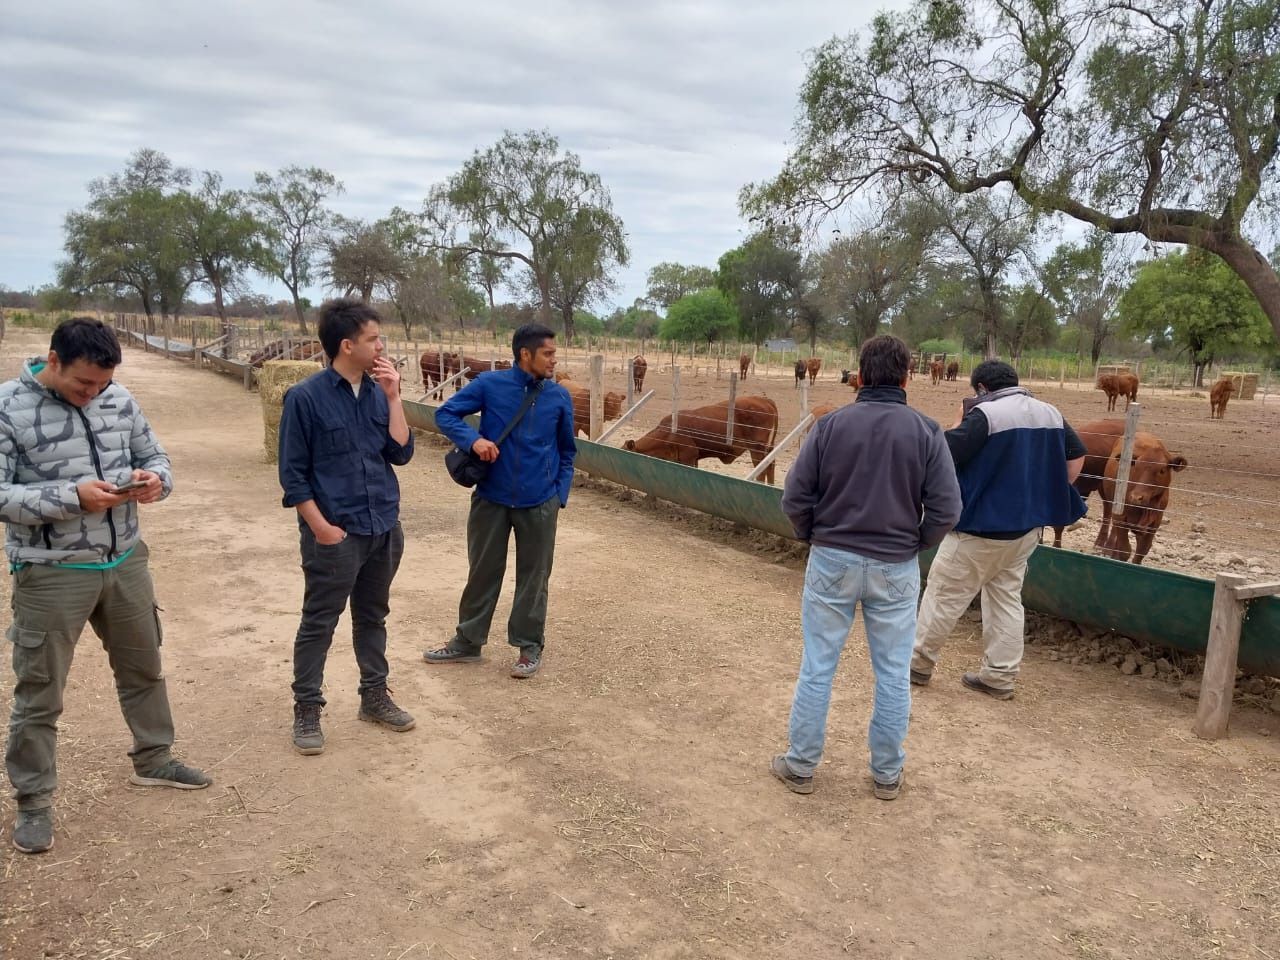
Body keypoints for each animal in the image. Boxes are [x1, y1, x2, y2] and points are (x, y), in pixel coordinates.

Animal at [622, 396, 778, 483]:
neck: (667, 434)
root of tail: (764, 400)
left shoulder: (689, 457)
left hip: (757, 449)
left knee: (762, 470)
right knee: (770, 466)